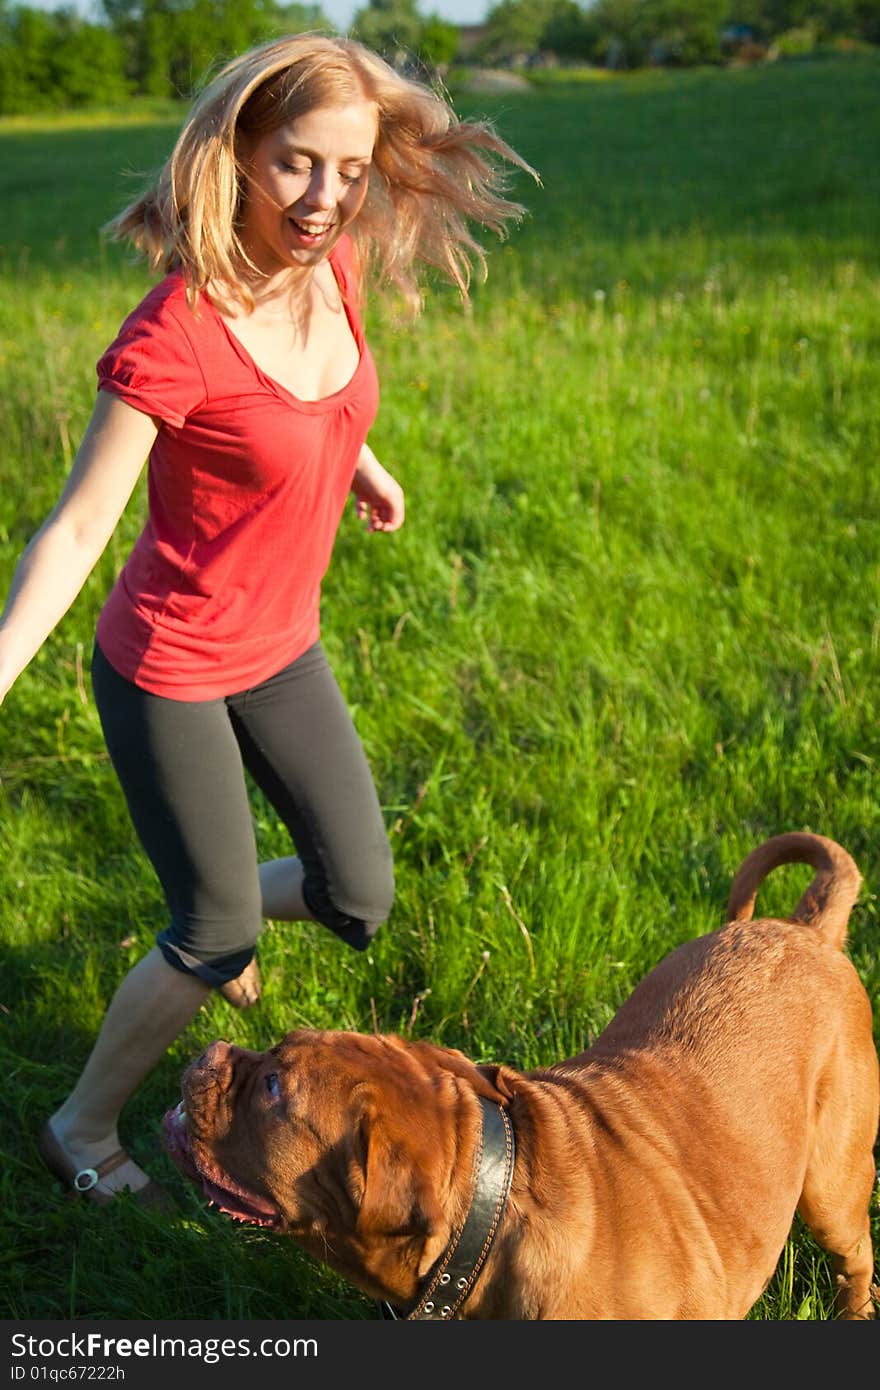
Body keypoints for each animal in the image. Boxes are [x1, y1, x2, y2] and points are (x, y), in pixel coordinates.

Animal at [164, 828, 878, 1317]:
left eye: (273, 1088)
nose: (208, 1054)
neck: (488, 1224)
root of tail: (807, 928)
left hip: (833, 1188)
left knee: (857, 1259)